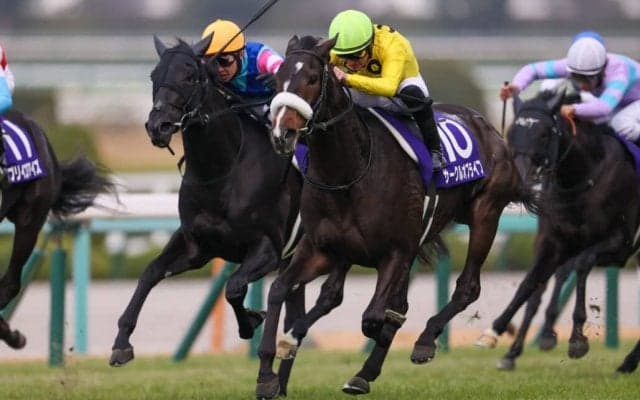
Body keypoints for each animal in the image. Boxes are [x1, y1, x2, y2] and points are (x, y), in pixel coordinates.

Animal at [108, 35, 304, 367]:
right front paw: (122, 341)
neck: (224, 170)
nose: (158, 126)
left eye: (189, 76)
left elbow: (234, 287)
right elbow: (150, 272)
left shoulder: (268, 248)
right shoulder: (196, 245)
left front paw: (251, 320)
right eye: (153, 76)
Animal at [254, 35, 521, 398]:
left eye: (311, 78)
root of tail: (489, 127)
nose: (282, 133)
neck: (348, 172)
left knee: (467, 287)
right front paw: (270, 370)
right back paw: (361, 371)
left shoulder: (395, 251)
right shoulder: (322, 249)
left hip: (485, 214)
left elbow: (373, 317)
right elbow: (280, 289)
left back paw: (424, 341)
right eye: (276, 81)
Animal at [476, 90, 640, 374]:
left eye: (544, 134)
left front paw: (576, 339)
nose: (520, 176)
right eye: (511, 132)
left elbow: (581, 265)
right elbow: (530, 283)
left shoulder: (620, 244)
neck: (583, 176)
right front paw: (495, 333)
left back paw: (628, 361)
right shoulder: (554, 241)